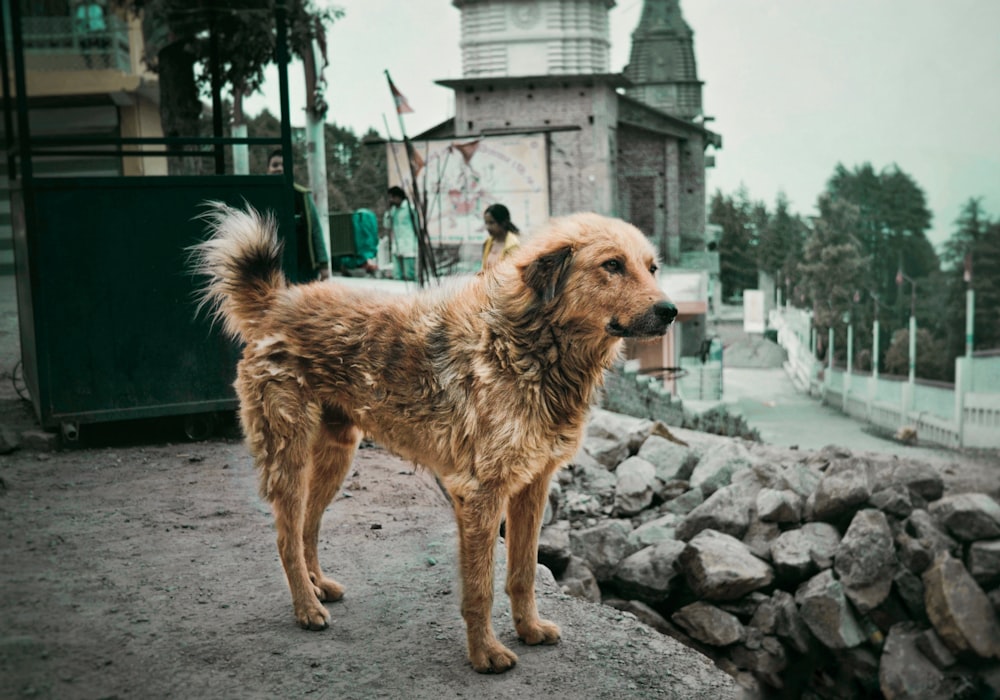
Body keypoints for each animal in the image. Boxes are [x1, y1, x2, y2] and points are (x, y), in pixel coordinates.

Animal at [191, 204, 676, 672]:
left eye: (652, 268)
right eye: (611, 265)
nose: (670, 310)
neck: (530, 346)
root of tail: (276, 302)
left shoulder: (533, 486)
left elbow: (523, 572)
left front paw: (529, 629)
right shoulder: (480, 493)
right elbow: (480, 588)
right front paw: (485, 655)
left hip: (336, 453)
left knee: (308, 526)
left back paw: (318, 585)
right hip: (288, 453)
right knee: (286, 537)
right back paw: (306, 607)